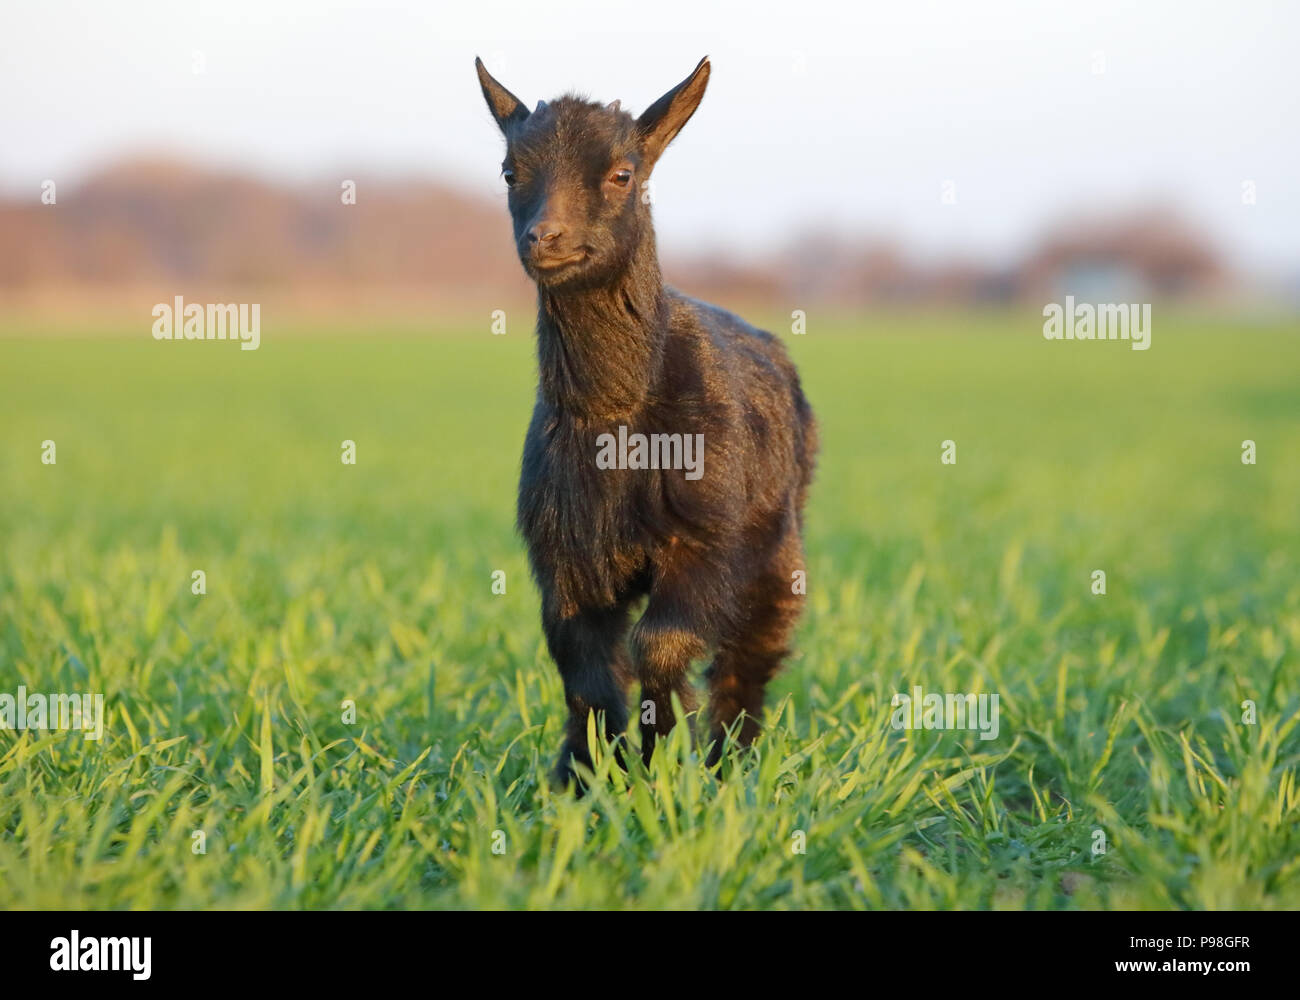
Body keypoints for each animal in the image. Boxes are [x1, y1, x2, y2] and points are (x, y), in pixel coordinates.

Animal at [475, 56, 817, 786]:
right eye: (510, 172)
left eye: (623, 173)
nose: (545, 237)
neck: (617, 416)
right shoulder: (566, 554)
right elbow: (586, 670)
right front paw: (583, 780)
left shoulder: (705, 539)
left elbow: (659, 646)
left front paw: (662, 769)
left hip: (778, 543)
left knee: (751, 657)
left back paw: (733, 767)